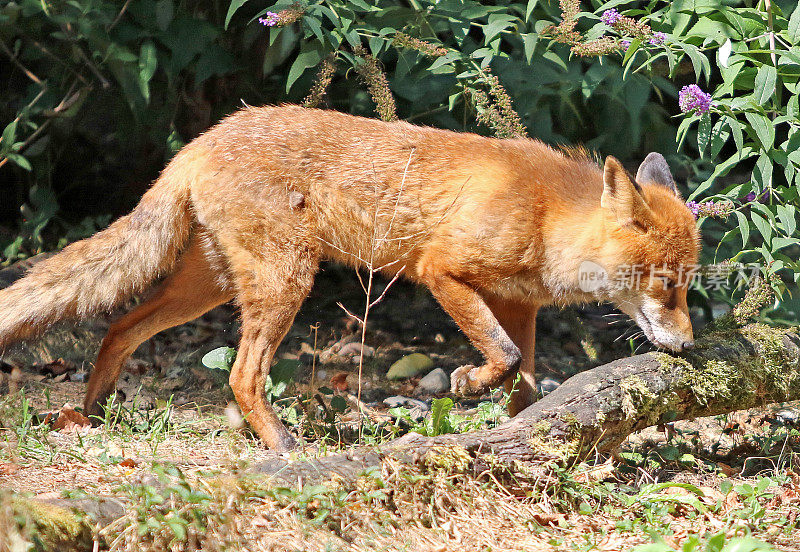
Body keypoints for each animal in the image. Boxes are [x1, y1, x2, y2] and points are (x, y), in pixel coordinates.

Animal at [0, 105, 696, 450]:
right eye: (665, 284)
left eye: (689, 283)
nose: (690, 347)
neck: (546, 216)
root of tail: (202, 138)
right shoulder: (442, 272)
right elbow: (500, 357)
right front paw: (469, 386)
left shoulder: (517, 304)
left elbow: (522, 379)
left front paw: (522, 433)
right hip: (284, 280)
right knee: (241, 374)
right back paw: (282, 446)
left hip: (210, 287)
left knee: (119, 326)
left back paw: (90, 413)